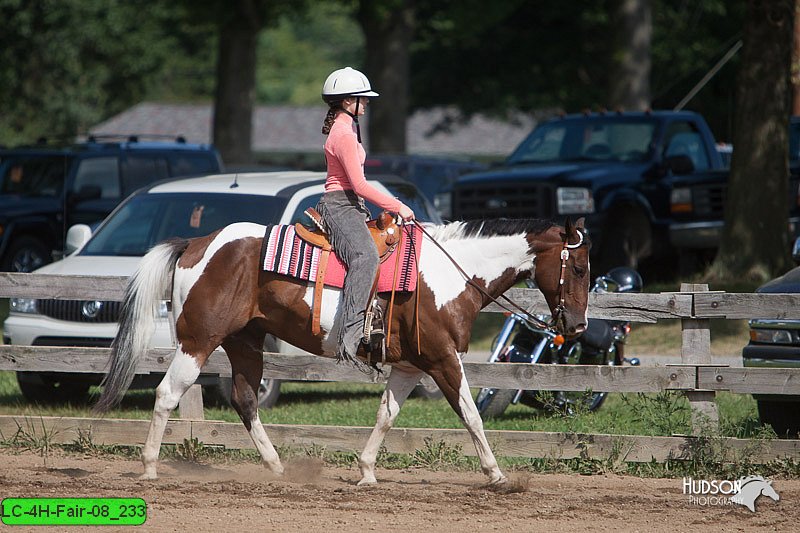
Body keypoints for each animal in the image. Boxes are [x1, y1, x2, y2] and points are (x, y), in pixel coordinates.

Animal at [95, 214, 592, 484]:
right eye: (580, 267)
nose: (577, 326)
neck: (451, 274)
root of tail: (196, 244)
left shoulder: (410, 366)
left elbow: (387, 414)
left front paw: (367, 470)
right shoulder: (443, 360)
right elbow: (471, 414)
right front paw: (497, 475)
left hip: (244, 343)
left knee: (244, 398)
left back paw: (277, 466)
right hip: (198, 342)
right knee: (167, 394)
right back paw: (149, 467)